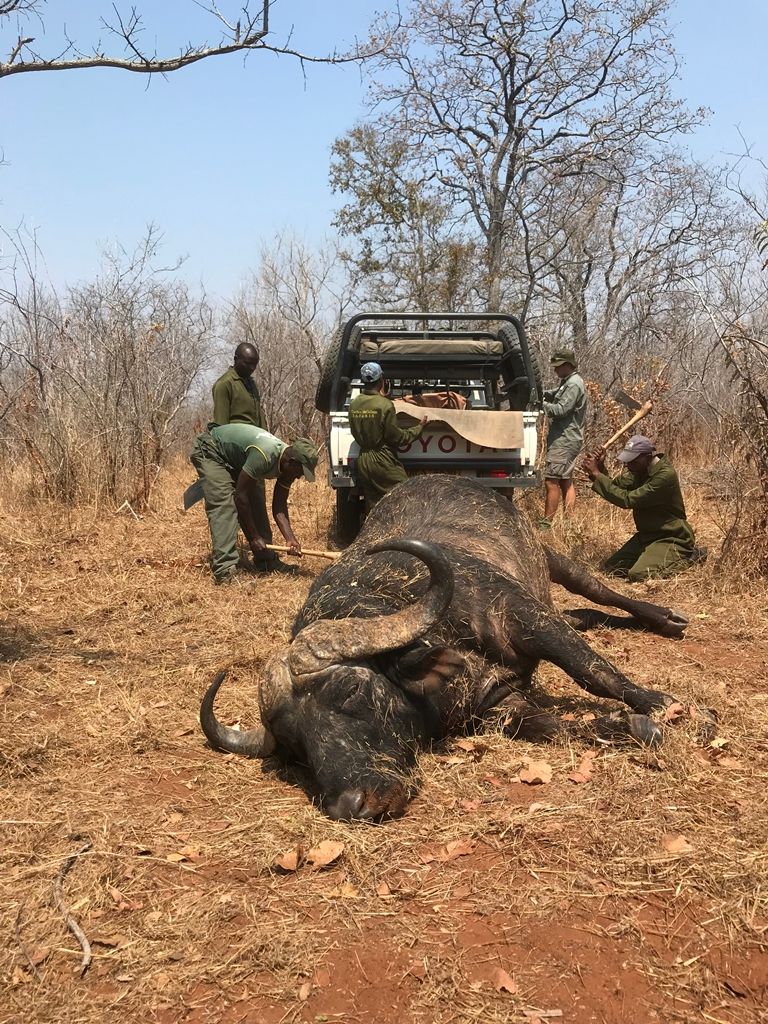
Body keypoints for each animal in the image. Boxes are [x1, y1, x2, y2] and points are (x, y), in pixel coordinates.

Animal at [201, 475, 694, 821]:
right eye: (294, 746)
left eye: (352, 690)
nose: (351, 805)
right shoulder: (497, 701)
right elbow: (549, 726)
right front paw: (633, 726)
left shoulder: (521, 614)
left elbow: (592, 669)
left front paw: (665, 706)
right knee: (580, 614)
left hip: (553, 560)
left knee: (598, 591)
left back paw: (666, 619)